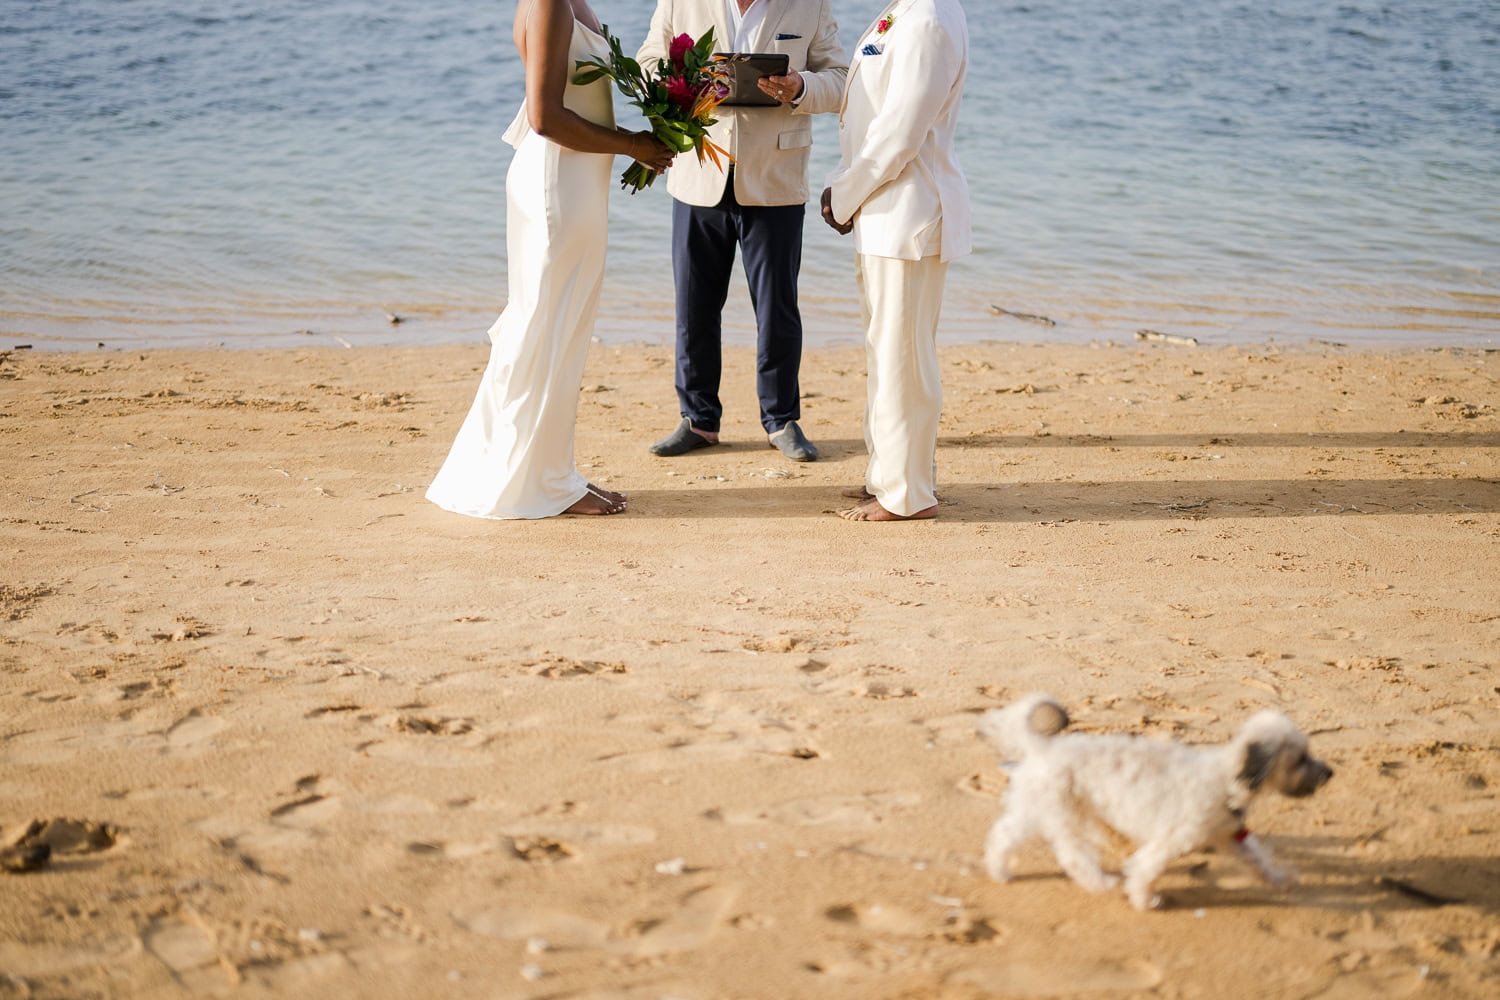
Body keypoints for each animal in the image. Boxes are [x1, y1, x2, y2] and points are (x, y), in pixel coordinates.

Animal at [978, 692, 1332, 911]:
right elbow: (1144, 869)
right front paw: (1144, 901)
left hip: (1037, 808)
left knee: (1004, 836)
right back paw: (1100, 882)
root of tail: (1043, 747)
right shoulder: (1173, 839)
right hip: (1062, 813)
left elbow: (1258, 860)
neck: (1226, 779)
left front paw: (1281, 878)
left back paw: (999, 871)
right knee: (1072, 855)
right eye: (1300, 759)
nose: (1330, 772)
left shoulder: (1230, 836)